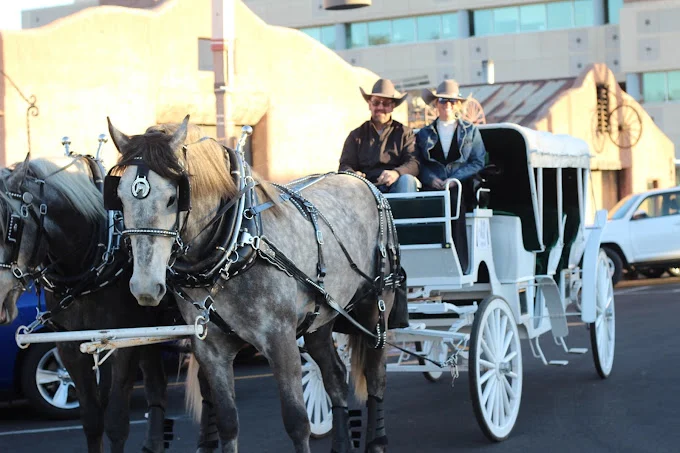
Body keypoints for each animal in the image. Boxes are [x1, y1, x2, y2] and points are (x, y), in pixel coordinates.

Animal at [107, 117, 398, 452]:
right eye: (120, 199)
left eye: (172, 198)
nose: (144, 286)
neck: (237, 240)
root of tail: (359, 180)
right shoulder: (211, 349)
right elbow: (227, 422)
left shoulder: (280, 339)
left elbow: (297, 422)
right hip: (321, 317)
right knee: (335, 376)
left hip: (376, 307)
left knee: (376, 379)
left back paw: (377, 441)